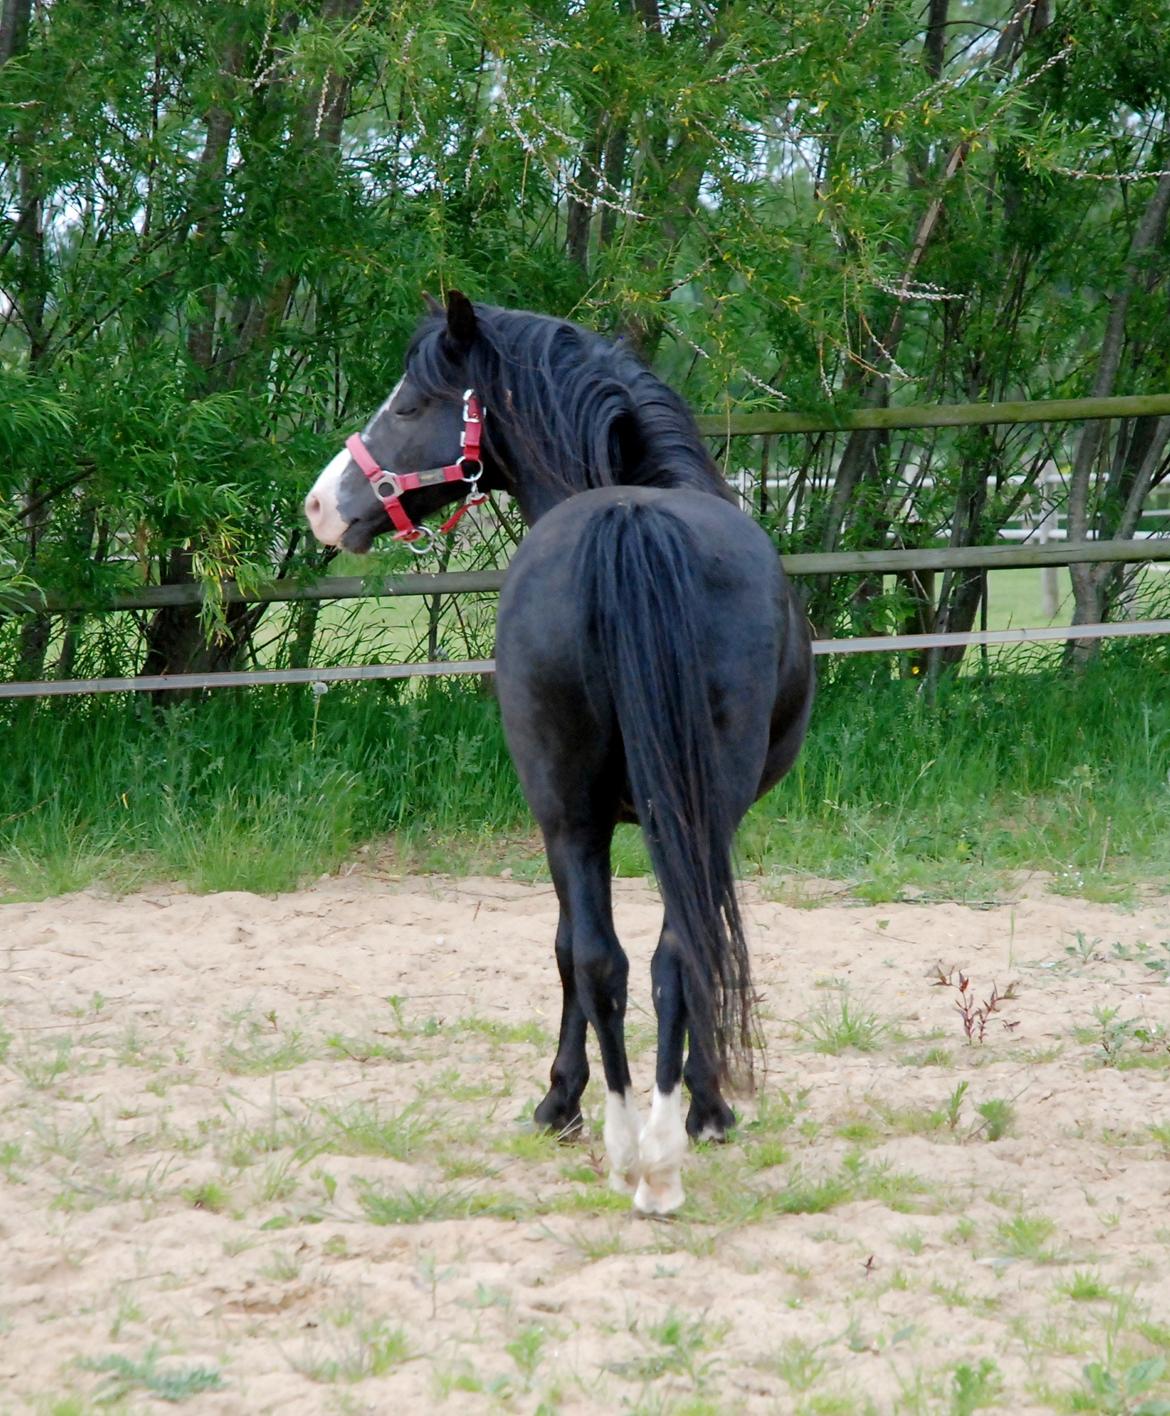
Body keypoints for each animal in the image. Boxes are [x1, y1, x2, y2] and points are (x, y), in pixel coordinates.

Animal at [303, 293, 810, 1212]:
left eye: (408, 405)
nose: (322, 504)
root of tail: (629, 520)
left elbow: (580, 948)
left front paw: (571, 1100)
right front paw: (681, 1106)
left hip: (576, 812)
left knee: (621, 955)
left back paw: (639, 1146)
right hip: (633, 812)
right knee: (654, 953)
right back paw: (648, 1150)